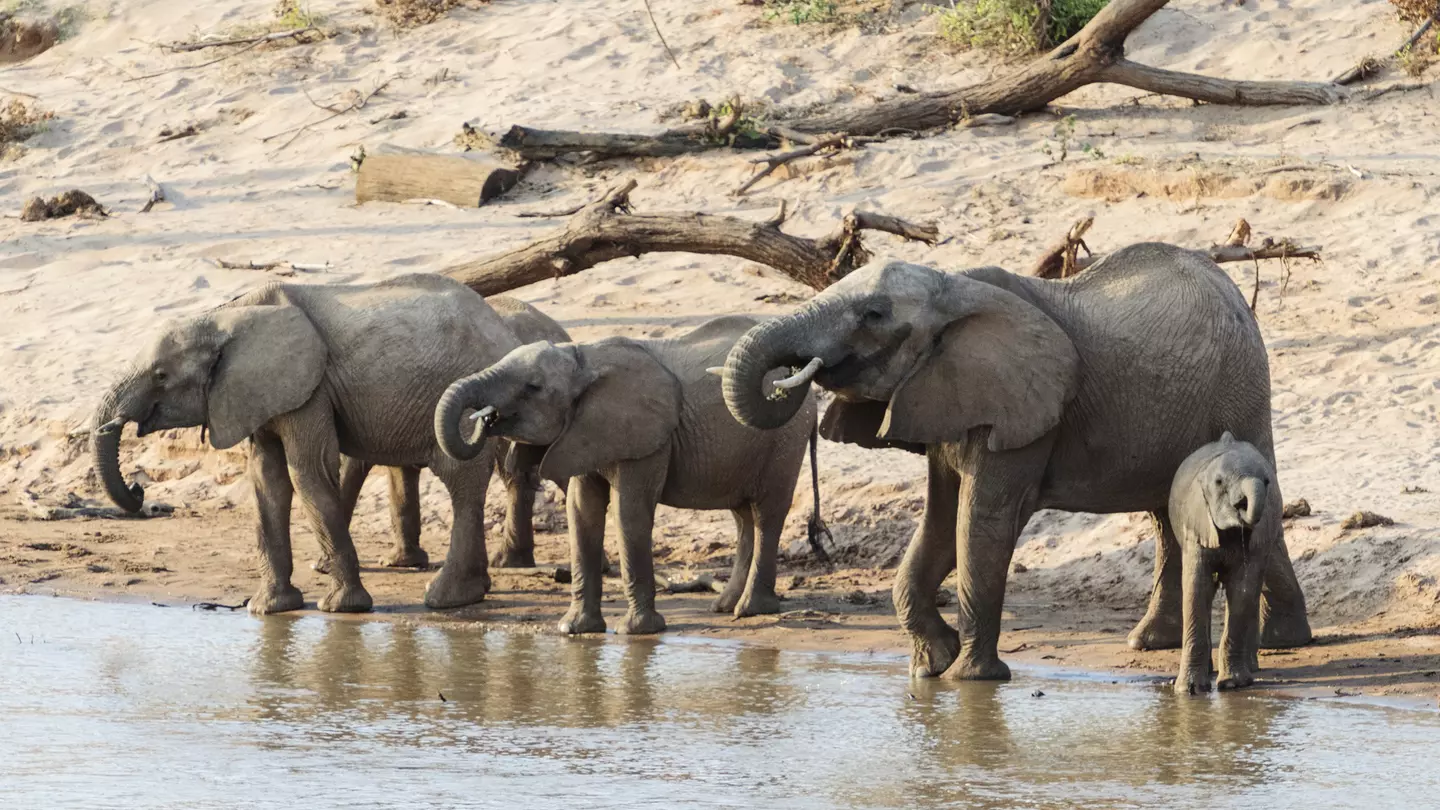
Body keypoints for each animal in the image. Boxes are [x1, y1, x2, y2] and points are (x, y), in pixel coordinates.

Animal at [91, 274, 525, 615]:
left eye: (161, 376)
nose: (139, 489)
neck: (224, 317)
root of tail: (502, 330)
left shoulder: (309, 390)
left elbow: (307, 473)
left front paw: (341, 608)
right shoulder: (258, 394)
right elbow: (267, 481)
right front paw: (268, 609)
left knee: (460, 481)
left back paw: (444, 599)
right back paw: (472, 595)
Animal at [434, 315, 819, 634]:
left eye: (533, 387)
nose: (485, 418)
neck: (582, 360)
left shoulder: (646, 439)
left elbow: (628, 512)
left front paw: (637, 632)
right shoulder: (585, 432)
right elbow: (581, 512)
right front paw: (574, 630)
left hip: (785, 438)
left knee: (767, 513)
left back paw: (751, 610)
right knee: (743, 517)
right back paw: (724, 607)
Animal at [1170, 432, 1277, 694]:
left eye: (1267, 482)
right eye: (1219, 483)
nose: (1241, 506)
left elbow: (1242, 589)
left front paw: (1233, 684)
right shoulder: (1195, 524)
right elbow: (1197, 588)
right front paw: (1189, 690)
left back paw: (1249, 669)